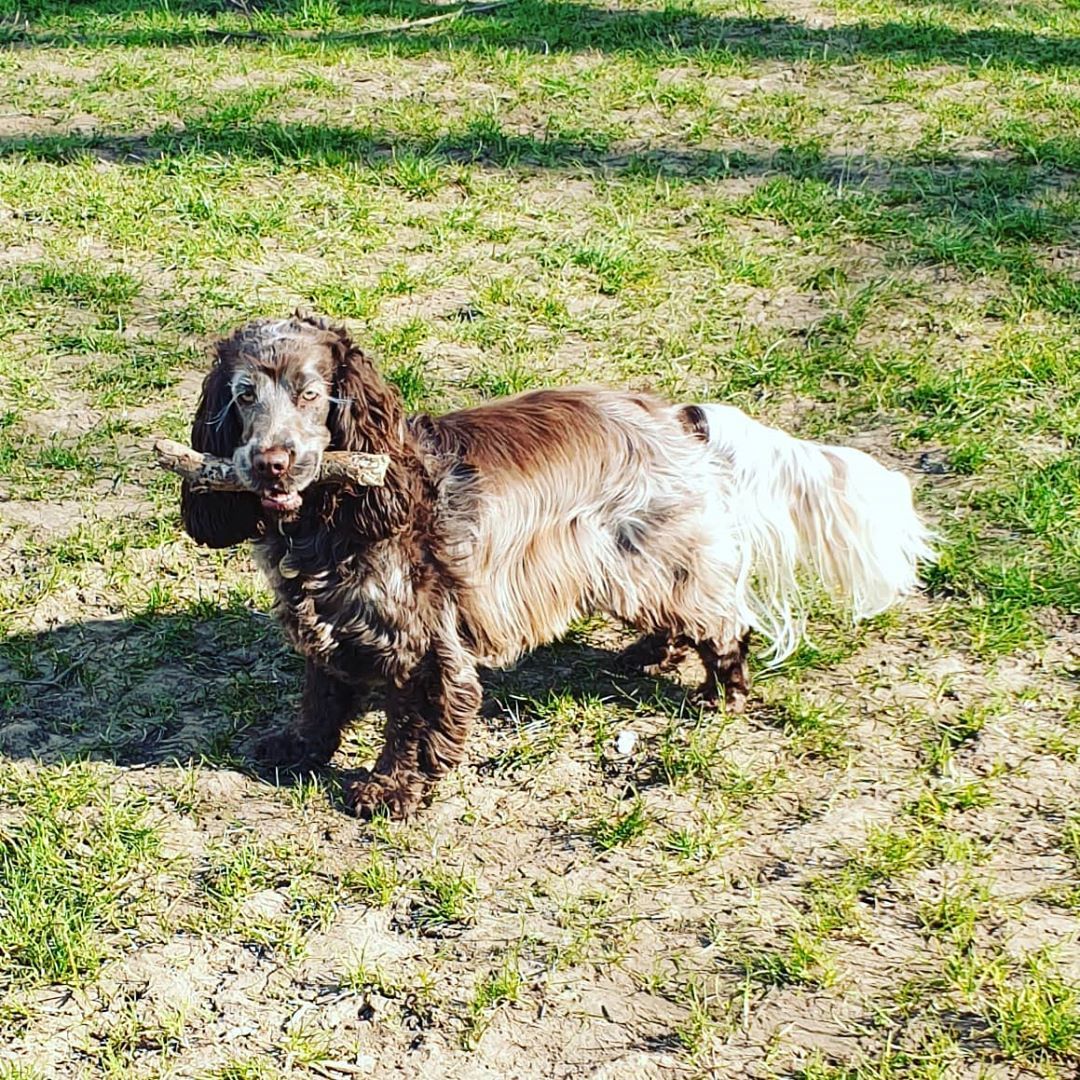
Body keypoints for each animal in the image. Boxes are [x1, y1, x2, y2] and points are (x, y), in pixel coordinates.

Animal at [181, 313, 933, 816]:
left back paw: (721, 695)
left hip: (659, 555)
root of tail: (682, 415)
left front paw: (391, 788)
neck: (328, 519)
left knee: (724, 623)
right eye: (244, 394)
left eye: (312, 393)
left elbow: (414, 723)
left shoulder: (423, 645)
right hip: (629, 563)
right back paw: (647, 655)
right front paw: (296, 748)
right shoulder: (333, 627)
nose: (270, 463)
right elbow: (320, 697)